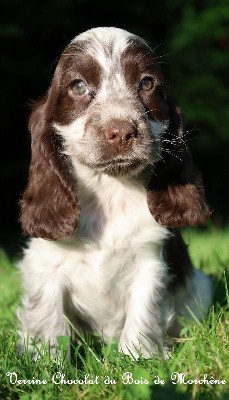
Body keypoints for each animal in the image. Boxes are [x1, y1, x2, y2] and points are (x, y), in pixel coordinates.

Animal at [17, 28, 211, 360]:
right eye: (78, 86)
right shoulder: (45, 266)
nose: (121, 131)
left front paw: (139, 360)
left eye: (146, 83)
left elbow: (142, 319)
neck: (110, 190)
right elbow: (49, 325)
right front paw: (49, 365)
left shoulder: (149, 265)